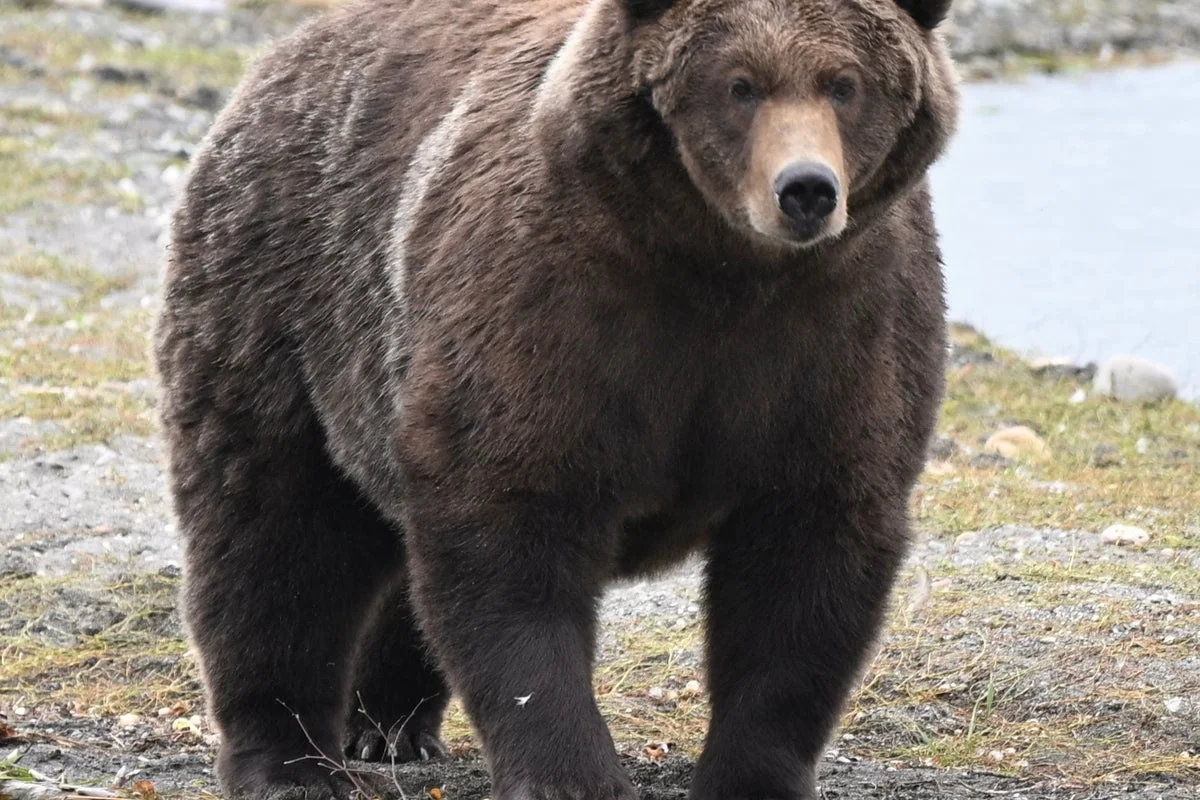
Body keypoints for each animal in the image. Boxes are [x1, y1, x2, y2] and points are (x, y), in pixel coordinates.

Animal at [153, 0, 959, 797]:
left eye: (844, 83)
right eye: (740, 84)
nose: (806, 189)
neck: (721, 269)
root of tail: (285, 51)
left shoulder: (838, 336)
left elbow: (806, 564)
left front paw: (751, 773)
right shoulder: (553, 310)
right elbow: (511, 533)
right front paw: (570, 773)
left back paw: (389, 723)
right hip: (287, 306)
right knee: (274, 534)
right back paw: (289, 761)